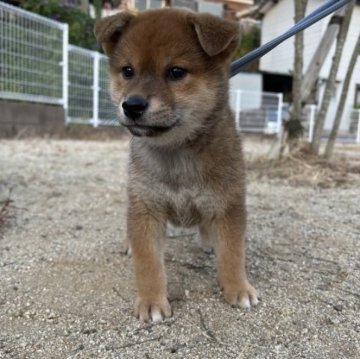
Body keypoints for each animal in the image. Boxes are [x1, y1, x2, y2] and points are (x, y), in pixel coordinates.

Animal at [94, 7, 258, 324]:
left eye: (176, 72)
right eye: (128, 71)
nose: (131, 105)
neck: (177, 152)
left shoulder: (229, 204)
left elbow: (233, 253)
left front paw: (238, 287)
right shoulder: (145, 208)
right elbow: (148, 263)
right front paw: (151, 301)